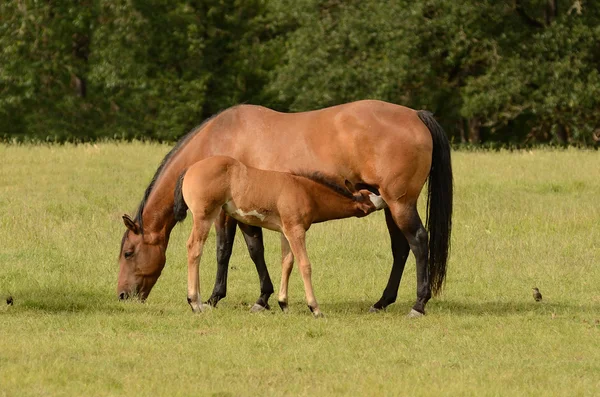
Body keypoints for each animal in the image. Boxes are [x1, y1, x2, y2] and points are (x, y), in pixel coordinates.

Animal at [119, 100, 452, 318]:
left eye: (128, 253)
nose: (123, 295)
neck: (219, 138)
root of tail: (416, 115)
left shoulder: (226, 214)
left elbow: (229, 251)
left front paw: (217, 298)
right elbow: (256, 251)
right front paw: (265, 298)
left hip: (399, 204)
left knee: (418, 242)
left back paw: (418, 304)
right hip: (390, 205)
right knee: (401, 249)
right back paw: (382, 302)